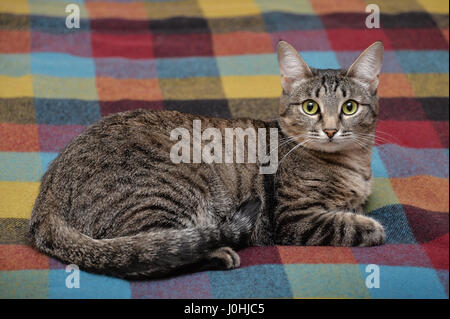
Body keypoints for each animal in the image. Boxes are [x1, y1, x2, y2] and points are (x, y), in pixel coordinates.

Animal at [29, 40, 384, 280]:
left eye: (349, 107)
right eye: (310, 107)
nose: (330, 130)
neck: (350, 165)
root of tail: (46, 199)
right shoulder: (294, 218)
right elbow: (352, 227)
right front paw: (370, 225)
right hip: (169, 190)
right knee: (147, 256)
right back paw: (218, 253)